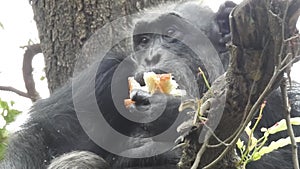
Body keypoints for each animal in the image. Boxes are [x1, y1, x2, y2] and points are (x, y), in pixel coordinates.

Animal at [0, 0, 300, 168]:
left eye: (170, 33)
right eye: (144, 40)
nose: (150, 55)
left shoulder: (279, 93)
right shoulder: (102, 74)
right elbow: (48, 134)